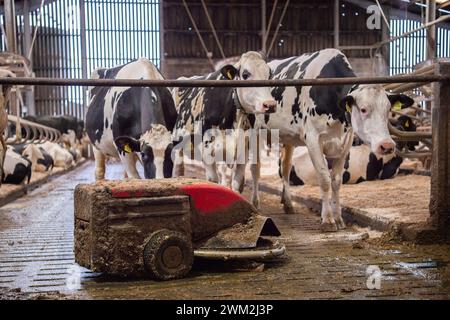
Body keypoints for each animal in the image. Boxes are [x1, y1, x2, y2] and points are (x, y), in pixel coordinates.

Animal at [173, 50, 276, 190]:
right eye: (245, 74)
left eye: (269, 75)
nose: (270, 105)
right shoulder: (207, 150)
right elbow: (213, 181)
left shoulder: (243, 151)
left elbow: (237, 183)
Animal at [250, 48, 414, 231]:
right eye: (363, 109)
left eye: (388, 109)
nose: (386, 145)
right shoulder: (312, 139)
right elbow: (324, 179)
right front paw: (327, 220)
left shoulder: (346, 142)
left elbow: (336, 180)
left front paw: (338, 218)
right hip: (254, 131)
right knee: (255, 168)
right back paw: (255, 203)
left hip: (288, 137)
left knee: (285, 168)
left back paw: (288, 204)